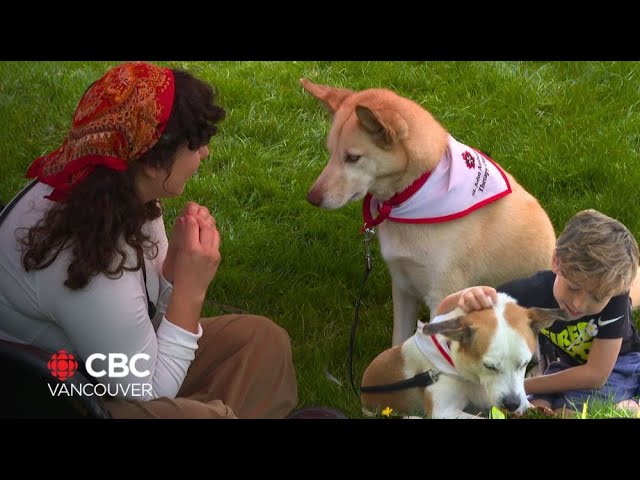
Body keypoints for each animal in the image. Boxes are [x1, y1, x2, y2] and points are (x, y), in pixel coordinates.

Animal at [300, 80, 556, 346]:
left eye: (352, 157)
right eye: (330, 152)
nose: (311, 198)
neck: (414, 195)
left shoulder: (443, 299)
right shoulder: (403, 288)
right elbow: (398, 342)